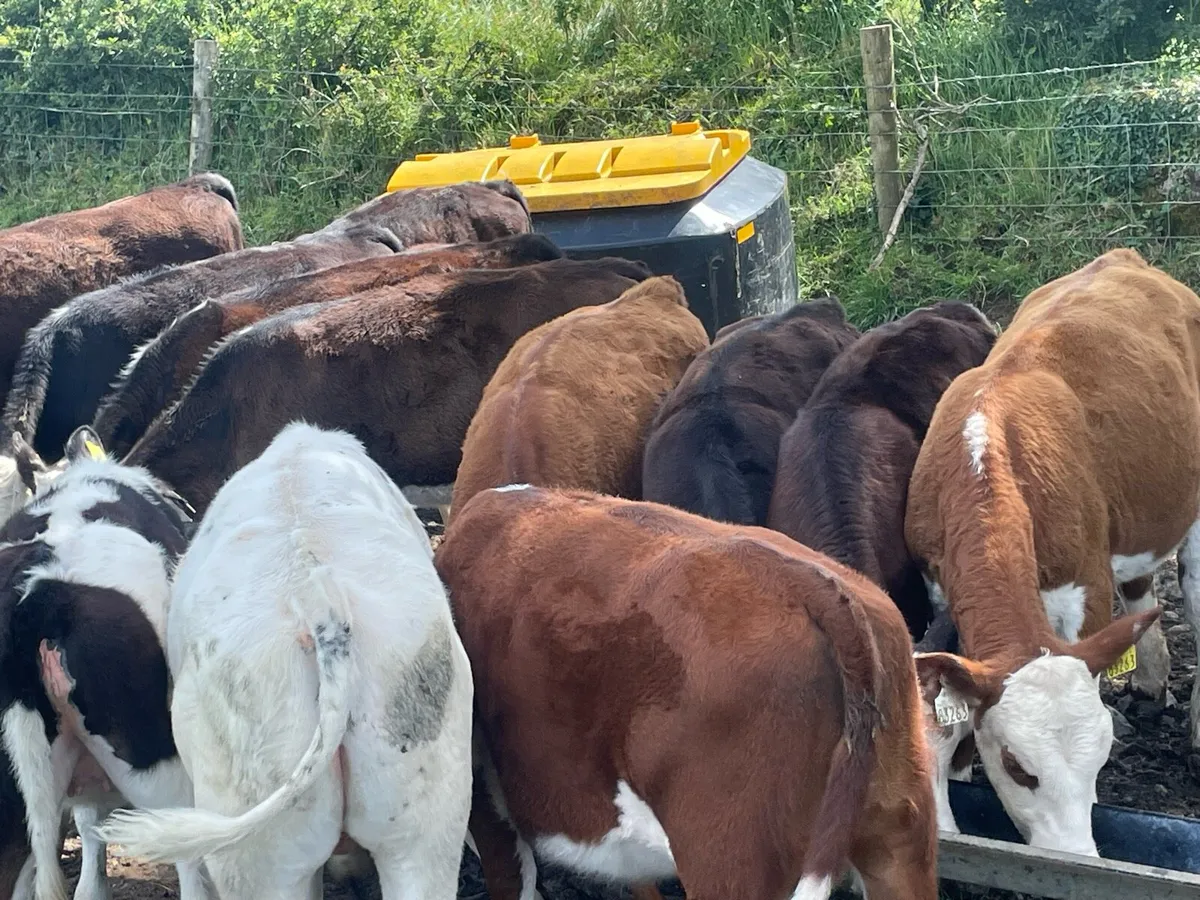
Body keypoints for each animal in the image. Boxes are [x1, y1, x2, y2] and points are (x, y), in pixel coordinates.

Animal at [905, 248, 1189, 855]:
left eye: (1100, 762)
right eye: (1018, 766)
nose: (1077, 857)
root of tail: (1125, 257)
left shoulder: (1085, 595)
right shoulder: (943, 598)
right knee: (1139, 588)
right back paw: (1151, 675)